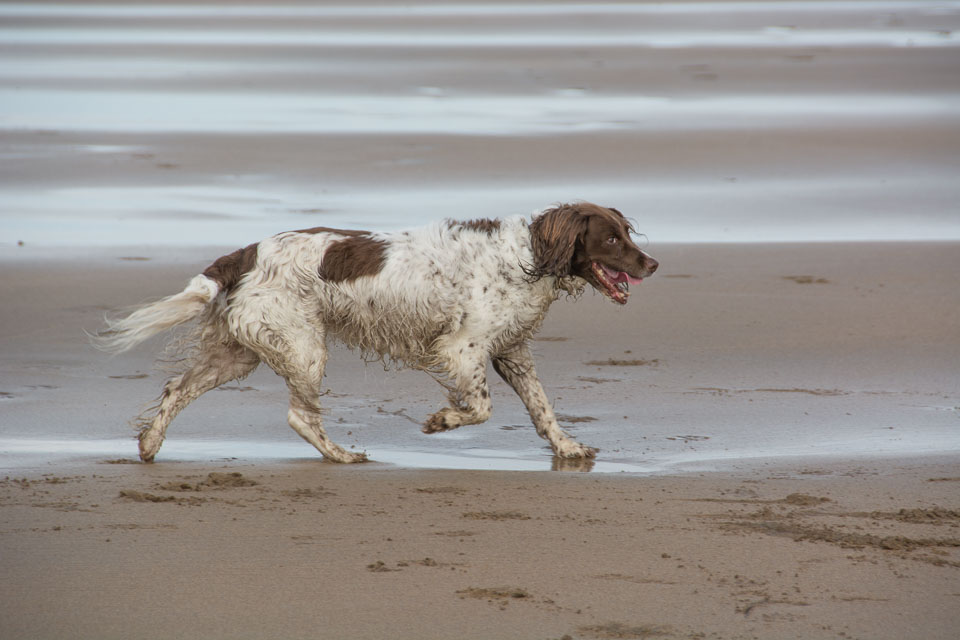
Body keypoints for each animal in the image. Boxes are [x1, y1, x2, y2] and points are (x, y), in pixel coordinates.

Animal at [97, 202, 660, 462]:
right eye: (611, 238)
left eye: (626, 233)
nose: (653, 263)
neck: (526, 257)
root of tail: (244, 254)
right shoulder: (464, 348)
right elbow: (480, 407)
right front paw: (441, 421)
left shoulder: (512, 351)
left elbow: (543, 409)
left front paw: (567, 448)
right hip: (303, 346)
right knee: (300, 416)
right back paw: (343, 456)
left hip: (239, 352)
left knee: (174, 390)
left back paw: (149, 445)